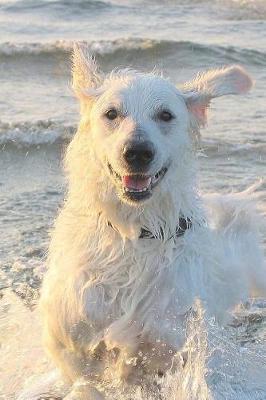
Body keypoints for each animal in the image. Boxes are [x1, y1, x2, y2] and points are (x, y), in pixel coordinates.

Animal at [40, 44, 266, 400]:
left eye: (165, 115)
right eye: (111, 114)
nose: (137, 152)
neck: (135, 230)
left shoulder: (169, 344)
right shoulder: (69, 336)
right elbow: (85, 376)